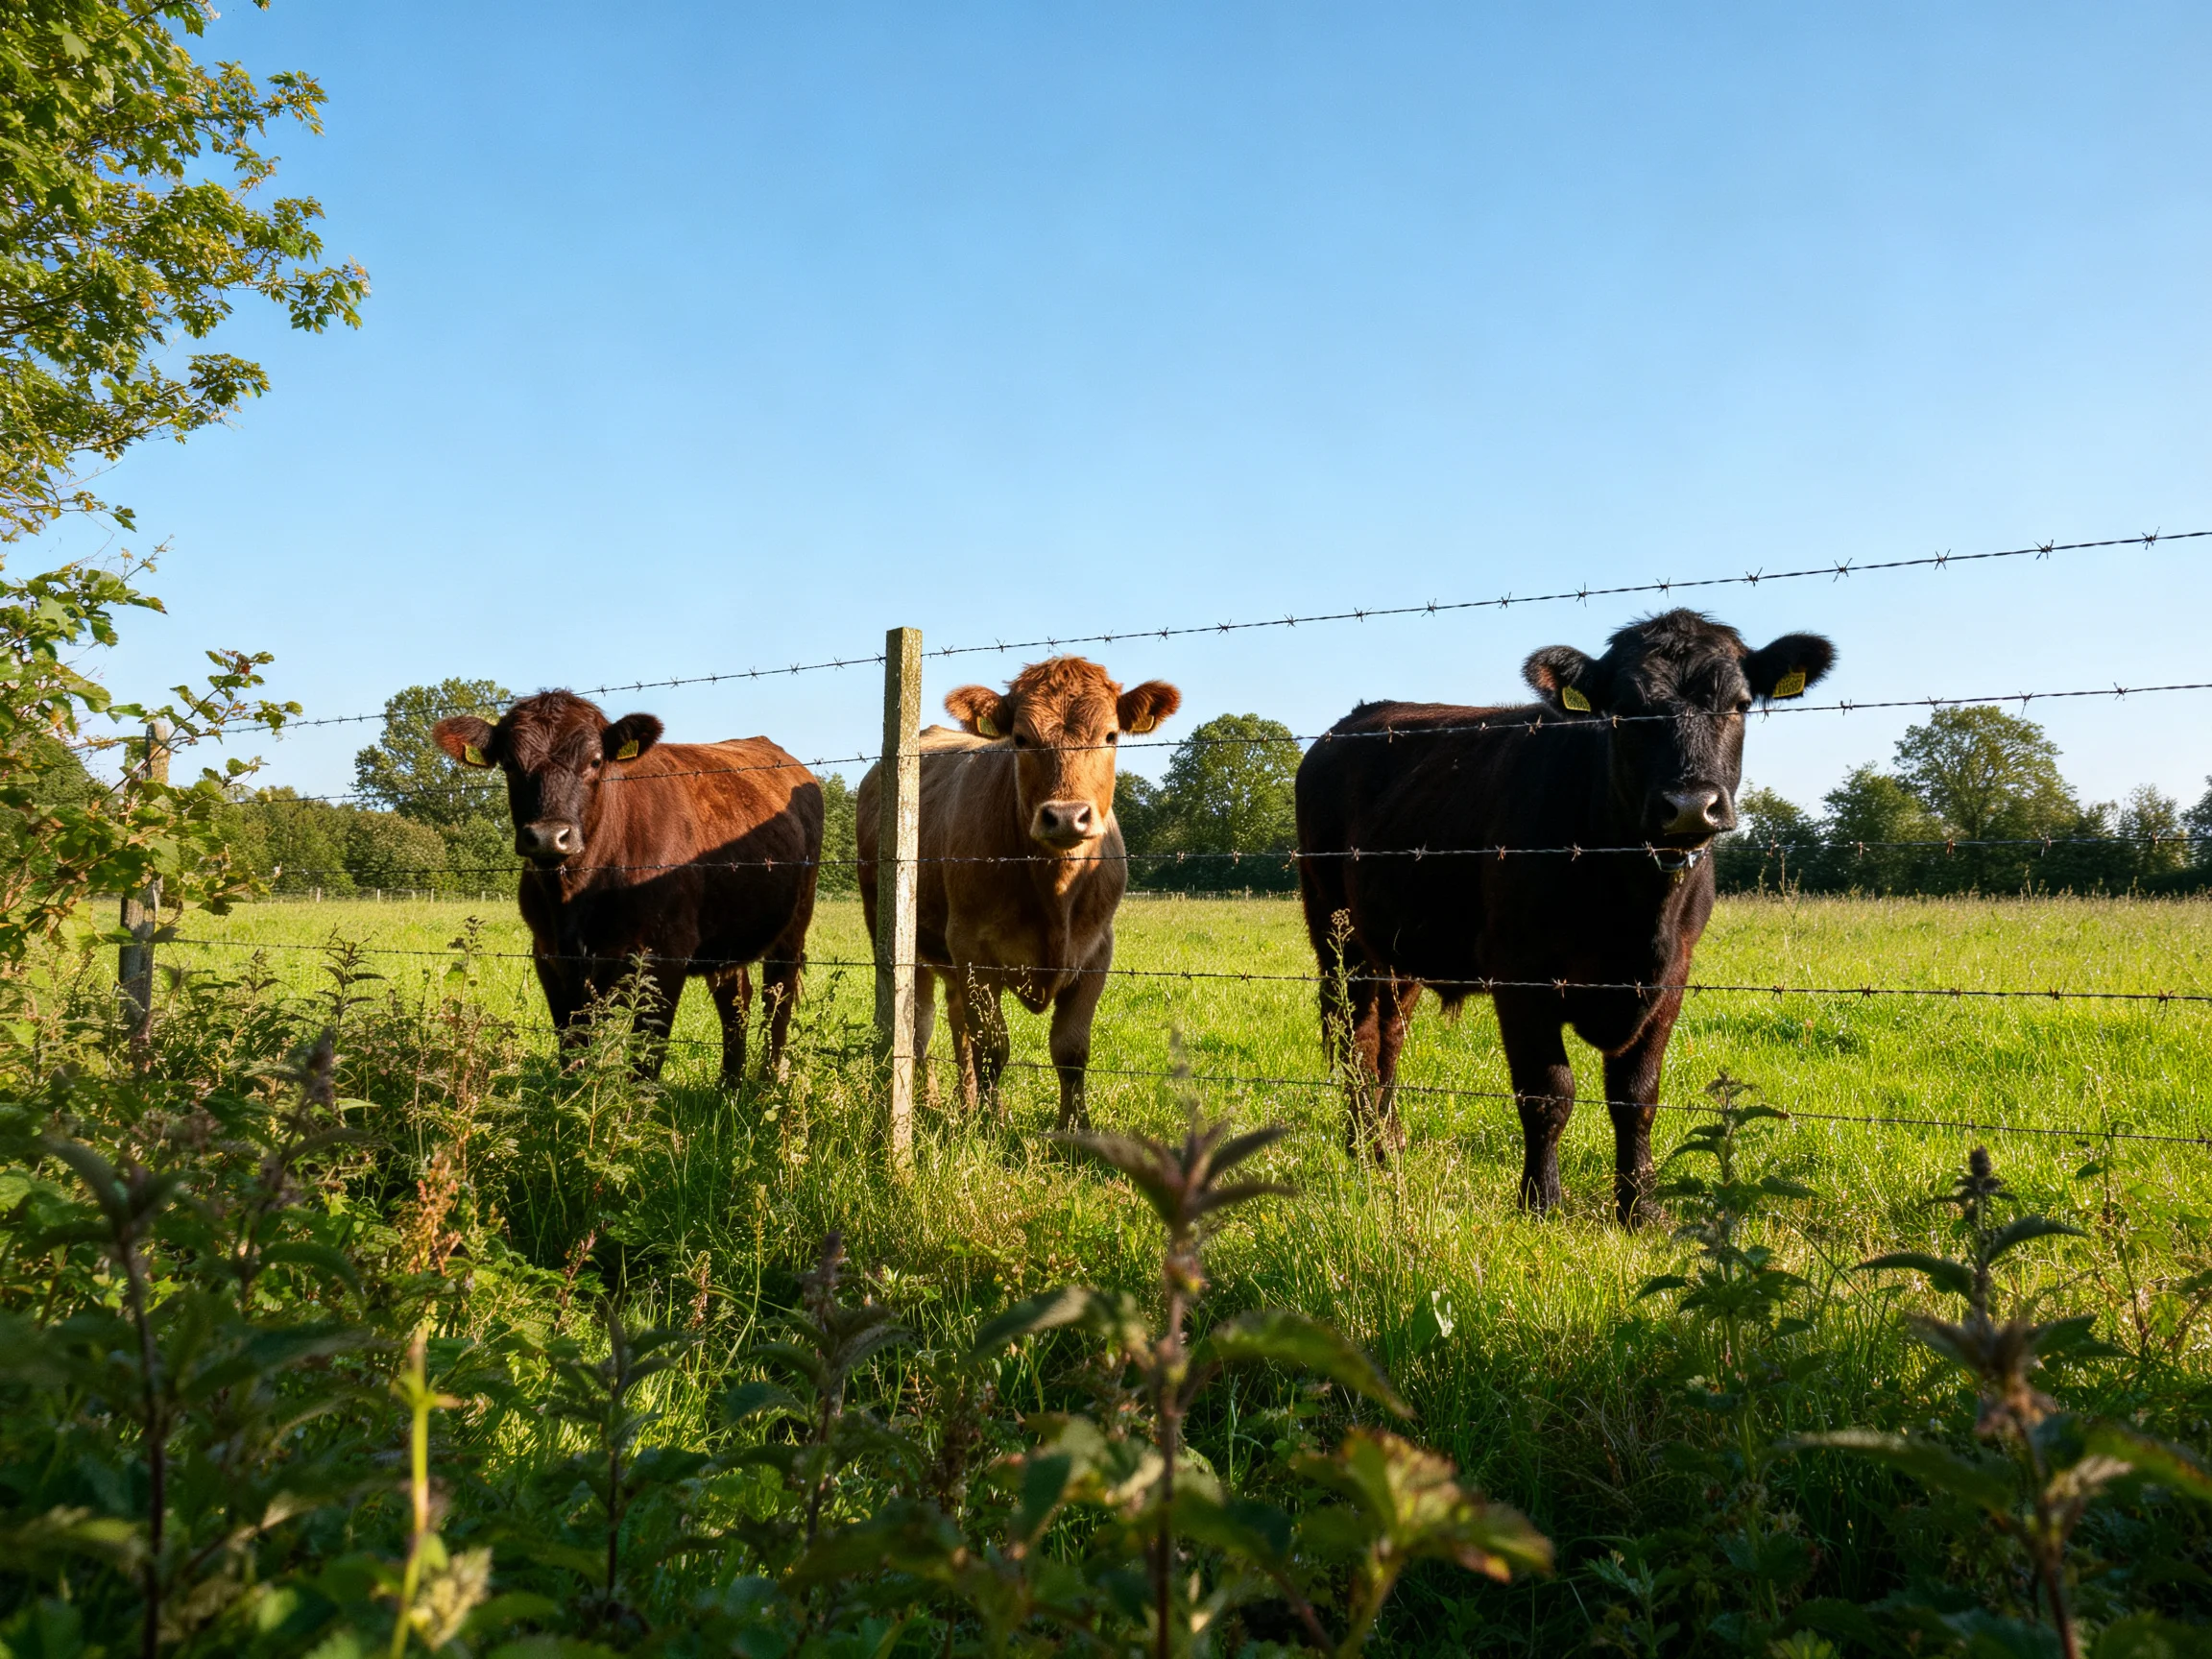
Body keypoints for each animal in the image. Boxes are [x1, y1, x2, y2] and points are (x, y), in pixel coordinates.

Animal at [432, 691, 822, 1084]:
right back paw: (730, 1082)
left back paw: (769, 1081)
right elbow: (572, 1047)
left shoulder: (665, 956)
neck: (575, 898)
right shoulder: (549, 957)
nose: (547, 836)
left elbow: (646, 1057)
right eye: (510, 764)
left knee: (778, 999)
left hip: (794, 925)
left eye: (595, 761)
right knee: (735, 999)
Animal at [856, 657, 1181, 1130]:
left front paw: (1075, 1128)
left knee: (956, 1021)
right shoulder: (972, 947)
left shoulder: (1097, 952)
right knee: (918, 1024)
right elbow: (993, 1047)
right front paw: (992, 1125)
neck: (1055, 892)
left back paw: (964, 1100)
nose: (1066, 816)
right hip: (898, 934)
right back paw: (929, 1101)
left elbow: (1071, 1048)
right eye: (1022, 739)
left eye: (1110, 735)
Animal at [1294, 609, 1834, 1224]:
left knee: (1389, 1036)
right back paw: (1363, 1147)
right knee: (1354, 1036)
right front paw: (1542, 1201)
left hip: (1398, 949)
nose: (1690, 805)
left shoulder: (1673, 975)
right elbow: (1548, 1092)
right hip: (1338, 936)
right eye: (1623, 708)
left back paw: (1390, 1142)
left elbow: (1636, 1095)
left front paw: (1639, 1209)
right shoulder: (1520, 973)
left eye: (1740, 703)